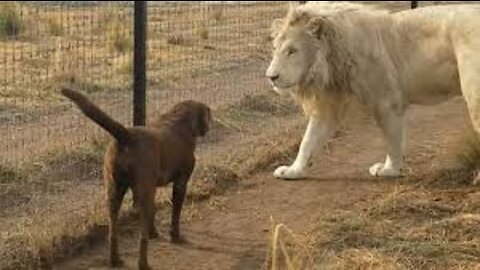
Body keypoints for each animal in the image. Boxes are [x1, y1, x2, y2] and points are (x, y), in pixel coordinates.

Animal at [60, 88, 210, 270]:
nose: (208, 127)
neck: (179, 123)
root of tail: (126, 135)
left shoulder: (148, 188)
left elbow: (153, 212)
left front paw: (154, 233)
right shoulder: (180, 182)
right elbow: (175, 213)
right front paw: (175, 236)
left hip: (114, 190)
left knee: (113, 232)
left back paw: (115, 260)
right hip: (141, 191)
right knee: (141, 237)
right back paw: (143, 264)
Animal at [264, 1, 480, 181]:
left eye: (292, 51)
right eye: (275, 49)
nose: (271, 76)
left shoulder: (386, 102)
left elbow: (393, 140)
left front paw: (390, 170)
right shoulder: (329, 104)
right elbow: (308, 140)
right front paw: (293, 171)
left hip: (474, 94)